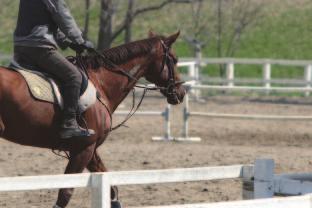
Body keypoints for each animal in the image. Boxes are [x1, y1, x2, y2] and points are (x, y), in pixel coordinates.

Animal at [0, 31, 184, 207]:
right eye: (174, 59)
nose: (181, 93)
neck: (100, 84)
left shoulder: (90, 149)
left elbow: (112, 188)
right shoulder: (83, 149)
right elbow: (65, 193)